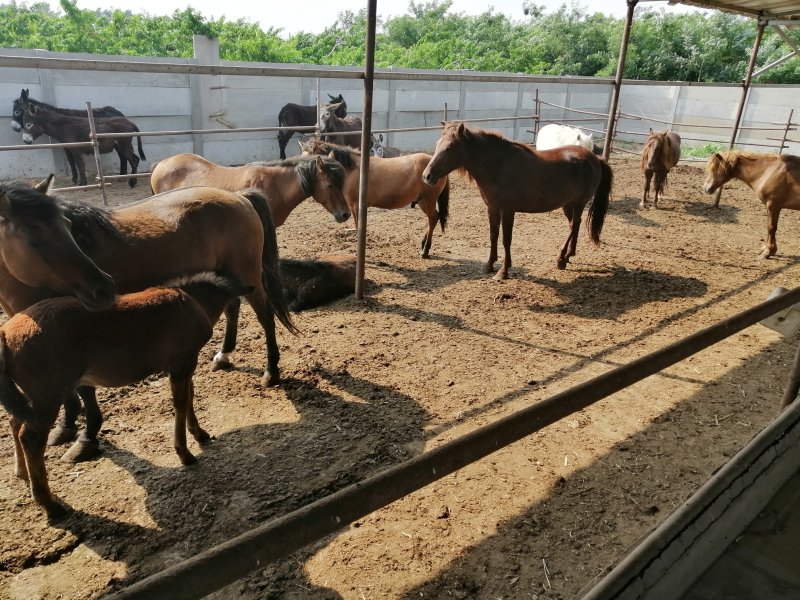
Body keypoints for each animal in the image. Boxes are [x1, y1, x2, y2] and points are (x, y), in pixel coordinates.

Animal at [0, 177, 294, 461]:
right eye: (35, 239)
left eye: (68, 227)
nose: (103, 288)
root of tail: (239, 197)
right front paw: (66, 425)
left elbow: (85, 389)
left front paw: (86, 436)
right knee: (231, 306)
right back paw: (223, 355)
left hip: (248, 274)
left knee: (265, 317)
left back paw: (271, 371)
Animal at [0, 272, 250, 518]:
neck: (192, 301)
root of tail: (5, 333)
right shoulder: (183, 363)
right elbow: (181, 403)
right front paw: (184, 452)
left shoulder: (184, 364)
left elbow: (189, 397)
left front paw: (199, 433)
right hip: (48, 396)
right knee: (31, 438)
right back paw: (49, 503)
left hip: (31, 397)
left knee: (14, 421)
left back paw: (22, 472)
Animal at [300, 138, 450, 258]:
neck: (352, 171)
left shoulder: (356, 205)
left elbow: (358, 227)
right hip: (422, 201)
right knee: (434, 217)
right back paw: (423, 245)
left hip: (429, 199)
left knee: (432, 218)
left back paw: (425, 251)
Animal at [422, 121, 613, 277]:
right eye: (438, 145)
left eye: (449, 148)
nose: (427, 176)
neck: (499, 167)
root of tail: (595, 158)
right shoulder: (492, 208)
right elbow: (493, 235)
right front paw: (489, 265)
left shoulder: (508, 210)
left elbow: (506, 239)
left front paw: (503, 271)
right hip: (568, 204)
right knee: (575, 224)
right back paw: (568, 255)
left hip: (579, 202)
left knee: (573, 225)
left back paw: (561, 258)